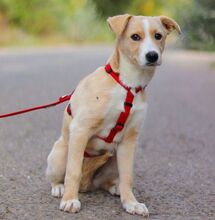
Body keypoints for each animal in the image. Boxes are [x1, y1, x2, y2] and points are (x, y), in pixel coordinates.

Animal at [46, 14, 181, 217]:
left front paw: (131, 203)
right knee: (60, 175)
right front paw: (70, 200)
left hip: (114, 158)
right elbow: (73, 171)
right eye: (135, 37)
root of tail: (87, 184)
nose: (152, 55)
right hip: (60, 153)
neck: (128, 85)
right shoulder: (80, 129)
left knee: (106, 182)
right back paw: (59, 188)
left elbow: (127, 177)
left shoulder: (129, 141)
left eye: (158, 36)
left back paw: (115, 188)